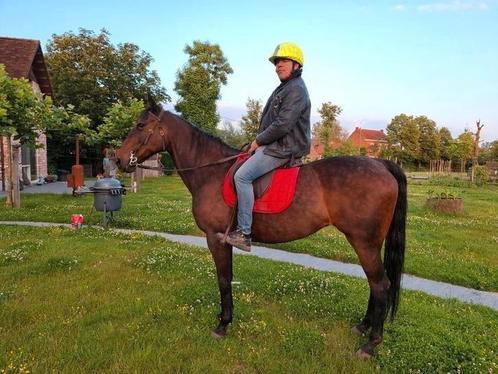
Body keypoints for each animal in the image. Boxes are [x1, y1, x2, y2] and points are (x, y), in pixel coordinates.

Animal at [115, 102, 404, 360]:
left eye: (140, 125)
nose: (118, 159)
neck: (212, 171)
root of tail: (382, 165)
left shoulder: (216, 238)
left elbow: (223, 280)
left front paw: (223, 325)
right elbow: (228, 278)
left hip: (364, 242)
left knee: (381, 285)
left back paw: (370, 344)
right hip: (368, 243)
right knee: (375, 283)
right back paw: (363, 327)